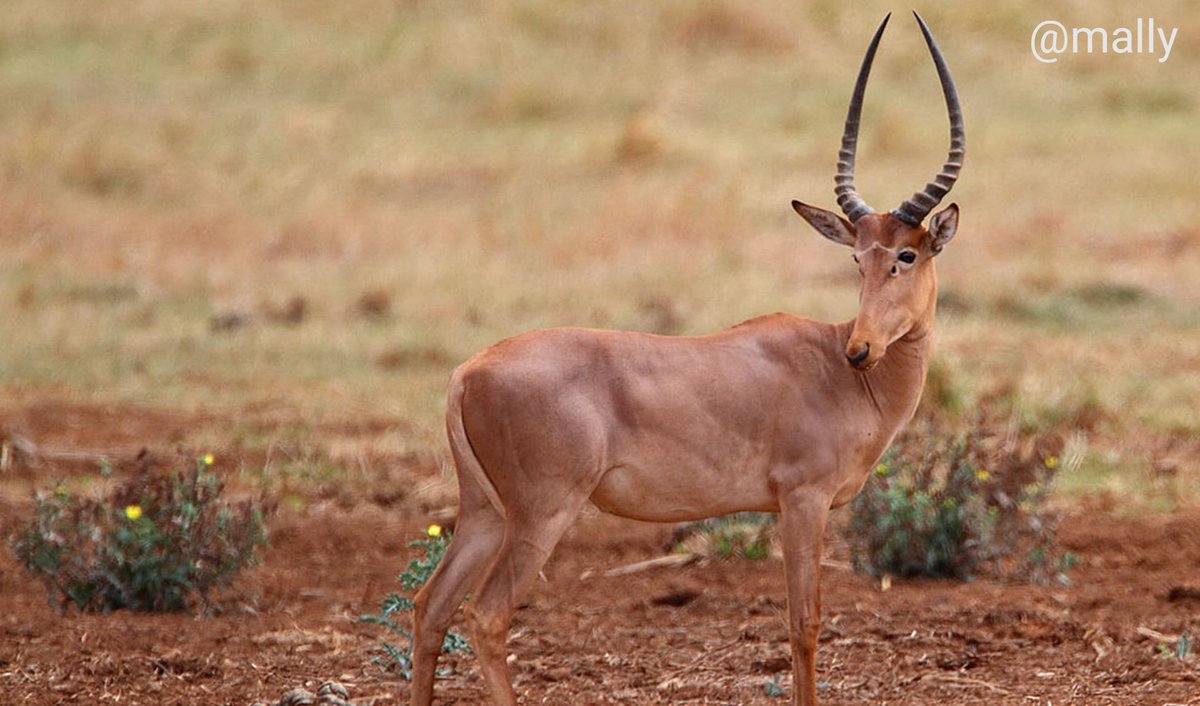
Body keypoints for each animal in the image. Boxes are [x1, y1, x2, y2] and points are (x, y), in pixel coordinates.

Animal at [408, 11, 964, 706]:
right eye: (858, 257)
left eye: (904, 254)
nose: (861, 348)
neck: (835, 372)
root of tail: (468, 372)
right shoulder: (802, 502)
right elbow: (803, 623)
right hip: (542, 513)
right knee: (486, 615)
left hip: (483, 513)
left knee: (430, 606)